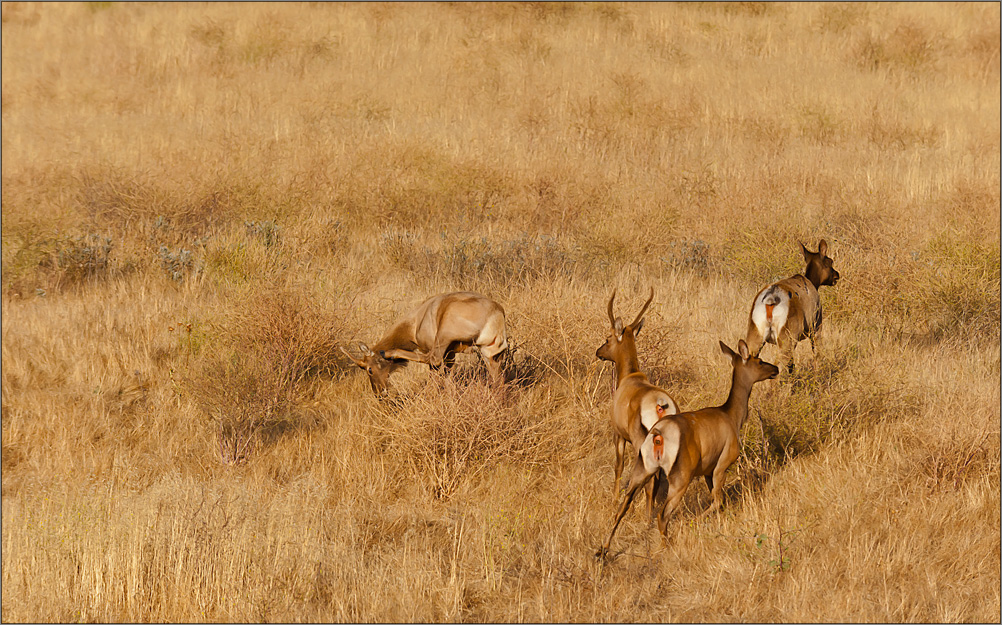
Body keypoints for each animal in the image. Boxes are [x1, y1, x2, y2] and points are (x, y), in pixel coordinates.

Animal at [340, 292, 509, 394]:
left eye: (369, 369)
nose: (380, 393)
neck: (416, 320)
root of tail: (496, 313)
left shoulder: (438, 350)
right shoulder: (451, 354)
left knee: (432, 358)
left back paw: (389, 352)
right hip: (490, 355)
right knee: (499, 381)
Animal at [593, 288, 681, 520]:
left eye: (608, 338)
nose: (598, 352)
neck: (630, 377)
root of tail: (660, 404)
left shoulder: (619, 435)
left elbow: (619, 466)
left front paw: (614, 500)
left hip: (642, 442)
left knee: (649, 480)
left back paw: (644, 513)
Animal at [597, 338, 777, 560]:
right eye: (759, 361)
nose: (776, 369)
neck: (732, 416)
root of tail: (658, 435)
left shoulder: (708, 470)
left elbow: (719, 500)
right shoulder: (722, 464)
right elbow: (717, 501)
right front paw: (696, 523)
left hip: (643, 467)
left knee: (622, 506)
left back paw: (603, 550)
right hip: (680, 476)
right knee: (662, 514)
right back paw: (665, 548)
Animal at [745, 239, 837, 372]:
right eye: (830, 261)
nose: (837, 275)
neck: (814, 283)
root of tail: (770, 301)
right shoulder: (816, 326)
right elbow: (817, 354)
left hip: (755, 334)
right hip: (787, 336)